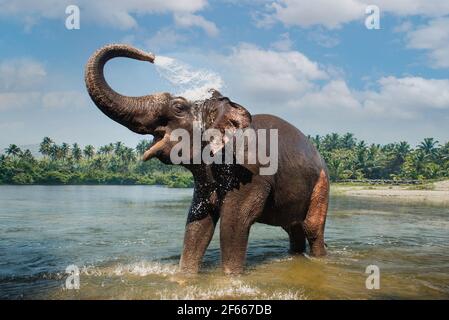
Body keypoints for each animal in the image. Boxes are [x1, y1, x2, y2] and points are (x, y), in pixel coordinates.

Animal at [85, 43, 328, 276]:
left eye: (178, 107)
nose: (151, 56)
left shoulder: (251, 171)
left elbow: (234, 222)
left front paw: (230, 278)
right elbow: (198, 222)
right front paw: (185, 275)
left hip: (322, 183)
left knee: (312, 228)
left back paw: (319, 258)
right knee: (293, 228)